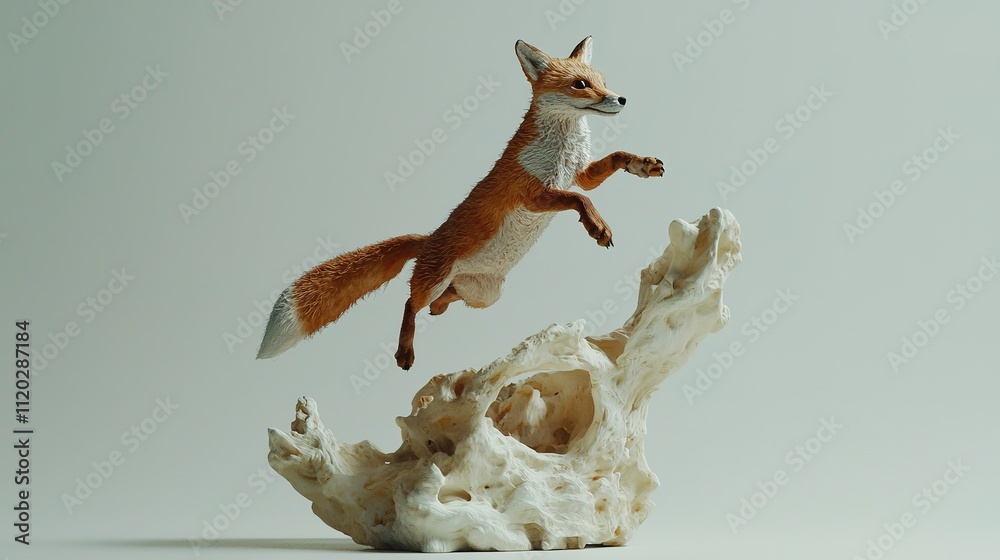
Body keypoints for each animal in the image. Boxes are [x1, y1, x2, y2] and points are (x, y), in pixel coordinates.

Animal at [257, 36, 665, 370]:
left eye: (603, 79)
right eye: (580, 85)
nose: (621, 98)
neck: (562, 148)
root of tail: (428, 239)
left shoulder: (580, 173)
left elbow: (612, 161)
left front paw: (642, 165)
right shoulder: (533, 194)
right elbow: (580, 200)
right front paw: (598, 226)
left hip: (488, 295)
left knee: (447, 298)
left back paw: (439, 309)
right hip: (435, 279)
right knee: (409, 304)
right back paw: (405, 351)